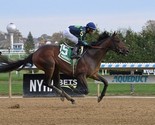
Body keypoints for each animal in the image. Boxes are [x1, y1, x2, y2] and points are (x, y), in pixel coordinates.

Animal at [0, 32, 128, 103]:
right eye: (117, 40)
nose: (127, 50)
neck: (92, 55)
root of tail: (35, 52)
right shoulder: (80, 75)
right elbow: (85, 90)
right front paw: (72, 87)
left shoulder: (93, 74)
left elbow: (106, 82)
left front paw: (100, 98)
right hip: (50, 66)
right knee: (47, 83)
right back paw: (64, 96)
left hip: (56, 68)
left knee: (56, 83)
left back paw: (68, 98)